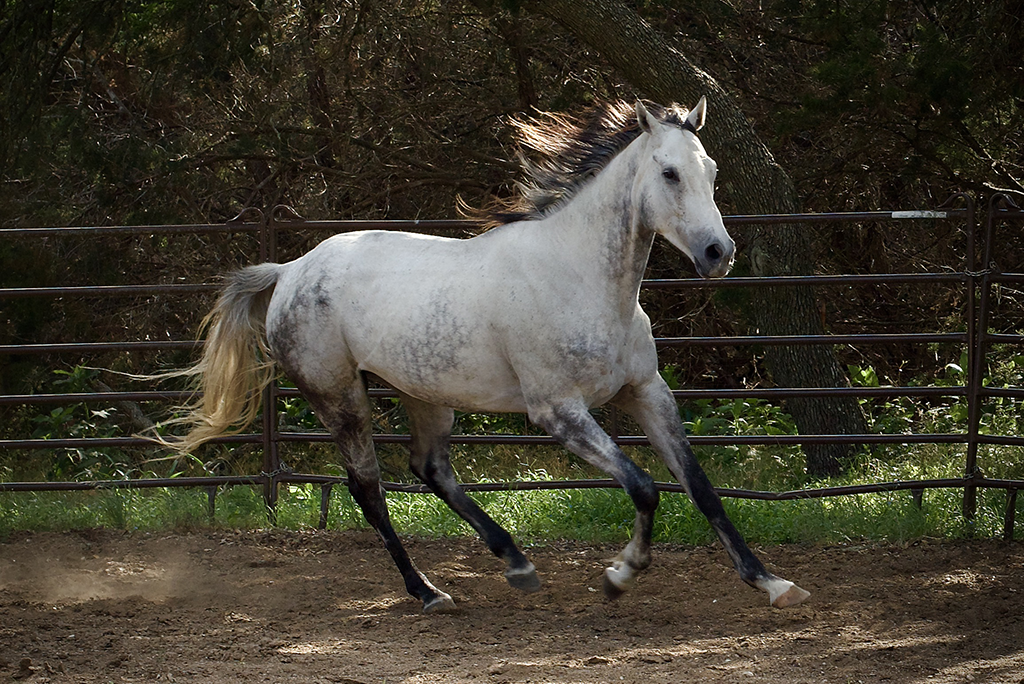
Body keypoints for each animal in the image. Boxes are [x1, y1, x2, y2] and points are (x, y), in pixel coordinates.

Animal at [167, 97, 810, 613]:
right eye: (670, 173)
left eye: (712, 171)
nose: (718, 253)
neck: (581, 278)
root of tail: (290, 270)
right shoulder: (558, 411)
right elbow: (645, 486)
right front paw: (619, 576)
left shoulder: (647, 393)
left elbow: (699, 487)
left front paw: (773, 584)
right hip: (340, 397)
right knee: (369, 490)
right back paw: (429, 592)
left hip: (425, 393)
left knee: (430, 468)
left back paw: (516, 563)